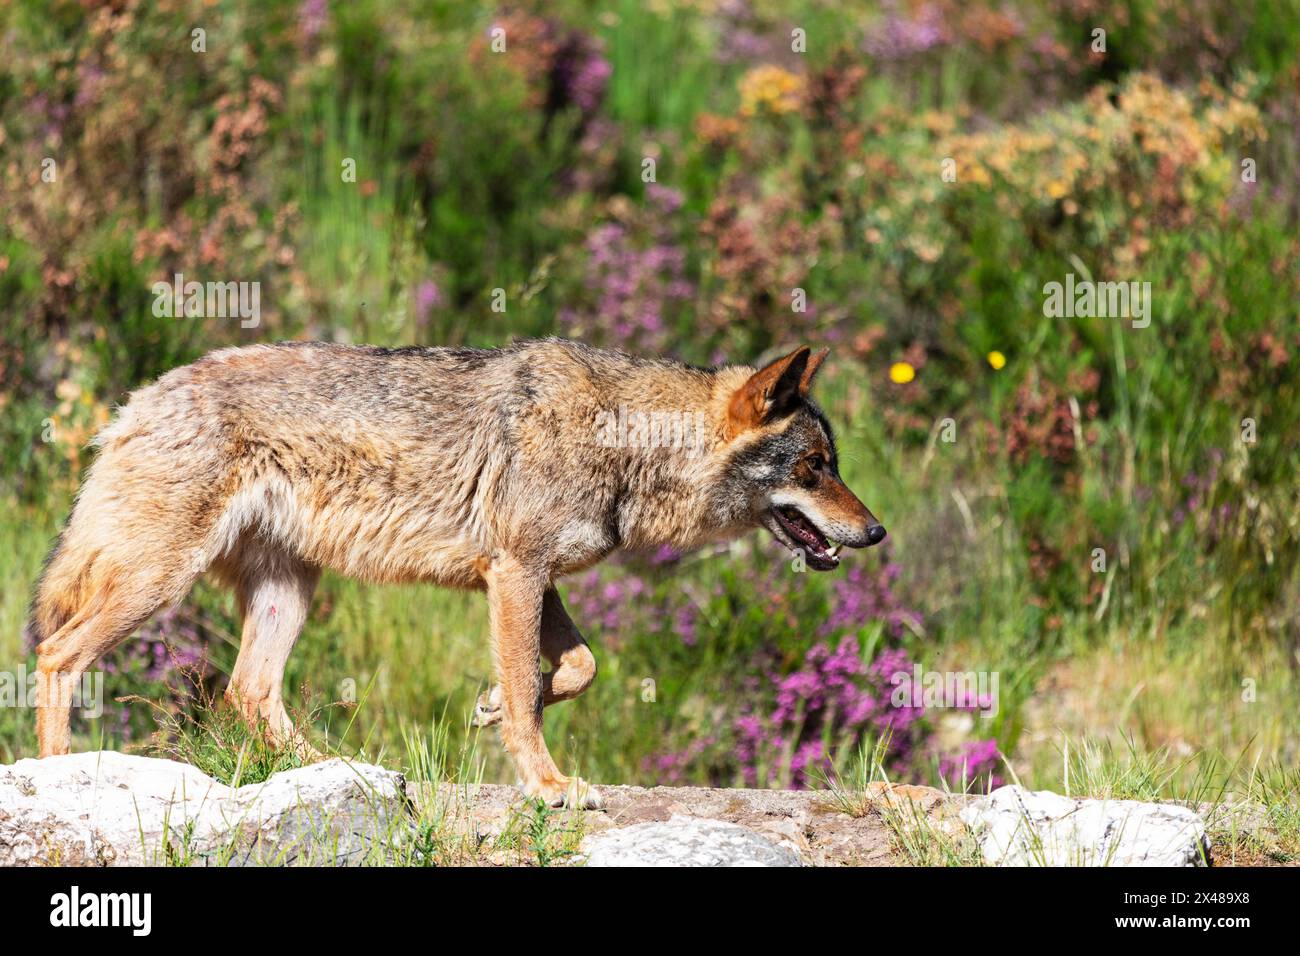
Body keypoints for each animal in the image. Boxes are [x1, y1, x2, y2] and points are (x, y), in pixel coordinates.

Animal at [30, 340, 889, 806]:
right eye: (814, 468)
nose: (876, 531)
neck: (627, 441)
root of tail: (137, 399)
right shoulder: (514, 574)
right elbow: (530, 693)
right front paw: (550, 786)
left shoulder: (531, 577)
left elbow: (576, 667)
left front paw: (491, 706)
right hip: (160, 583)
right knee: (55, 654)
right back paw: (57, 772)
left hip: (288, 595)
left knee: (250, 692)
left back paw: (345, 768)